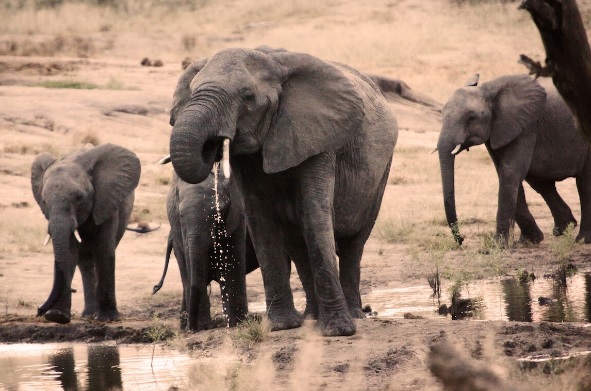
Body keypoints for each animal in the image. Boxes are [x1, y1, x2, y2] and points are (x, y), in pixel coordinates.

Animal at [31, 144, 141, 324]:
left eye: (79, 197)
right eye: (44, 201)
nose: (39, 310)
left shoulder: (106, 201)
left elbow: (104, 250)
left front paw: (107, 318)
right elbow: (69, 253)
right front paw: (57, 317)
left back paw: (95, 315)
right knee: (85, 261)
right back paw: (89, 314)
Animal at [168, 46, 398, 336]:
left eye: (248, 97)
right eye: (193, 91)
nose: (215, 143)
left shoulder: (319, 136)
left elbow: (314, 214)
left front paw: (338, 331)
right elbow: (260, 220)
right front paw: (282, 326)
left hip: (380, 175)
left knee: (353, 244)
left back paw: (353, 316)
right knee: (298, 246)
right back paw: (311, 318)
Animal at [438, 75, 591, 247]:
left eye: (471, 118)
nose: (462, 239)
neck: (487, 89)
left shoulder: (526, 127)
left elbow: (510, 172)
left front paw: (497, 246)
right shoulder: (498, 130)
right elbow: (506, 174)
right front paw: (530, 240)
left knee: (585, 184)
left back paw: (583, 240)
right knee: (541, 183)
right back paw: (563, 229)